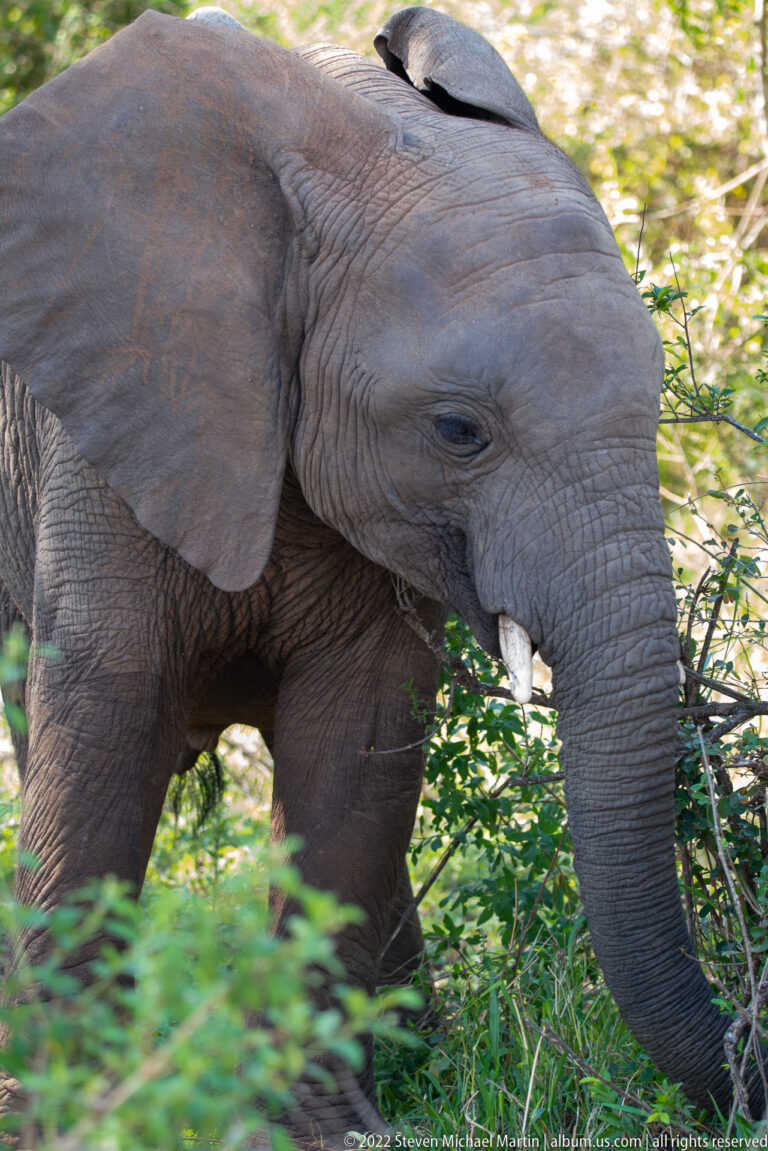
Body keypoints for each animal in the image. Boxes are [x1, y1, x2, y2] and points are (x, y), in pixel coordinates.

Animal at [0, 3, 762, 1143]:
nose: (744, 1051)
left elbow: (356, 751)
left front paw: (325, 1123)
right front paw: (71, 1112)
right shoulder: (108, 416)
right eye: (458, 431)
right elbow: (106, 727)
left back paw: (417, 1049)